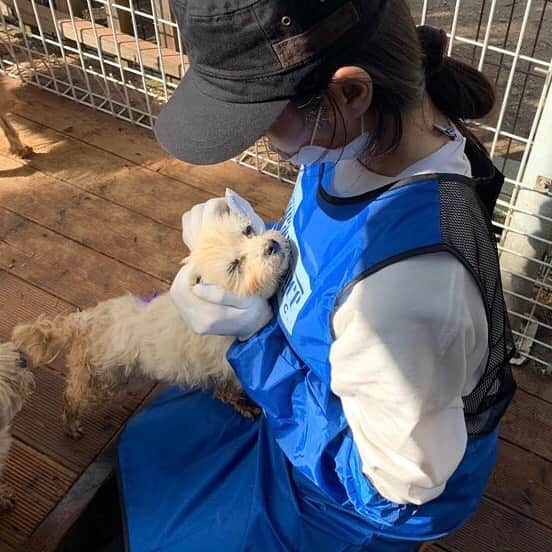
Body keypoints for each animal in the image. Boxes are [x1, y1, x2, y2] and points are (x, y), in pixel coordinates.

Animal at [11, 196, 288, 438]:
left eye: (249, 230)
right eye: (235, 265)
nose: (272, 245)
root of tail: (84, 321)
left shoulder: (218, 370)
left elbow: (226, 389)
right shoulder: (228, 366)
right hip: (99, 382)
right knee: (71, 398)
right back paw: (71, 426)